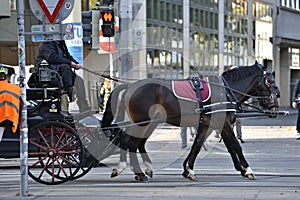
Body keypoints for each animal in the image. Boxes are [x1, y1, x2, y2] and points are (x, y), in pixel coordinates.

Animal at [102, 61, 280, 182]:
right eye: (270, 82)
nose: (275, 106)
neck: (225, 91)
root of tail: (130, 85)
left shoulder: (208, 125)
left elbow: (198, 145)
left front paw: (188, 169)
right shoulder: (224, 124)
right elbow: (235, 145)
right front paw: (247, 169)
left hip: (149, 123)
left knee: (135, 142)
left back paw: (140, 169)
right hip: (142, 123)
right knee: (130, 142)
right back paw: (136, 172)